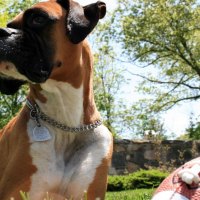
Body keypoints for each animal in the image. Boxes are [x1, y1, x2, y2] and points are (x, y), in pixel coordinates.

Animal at [0, 0, 112, 199]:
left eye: (38, 18)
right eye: (10, 25)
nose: (1, 31)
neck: (66, 124)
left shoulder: (90, 192)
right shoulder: (14, 192)